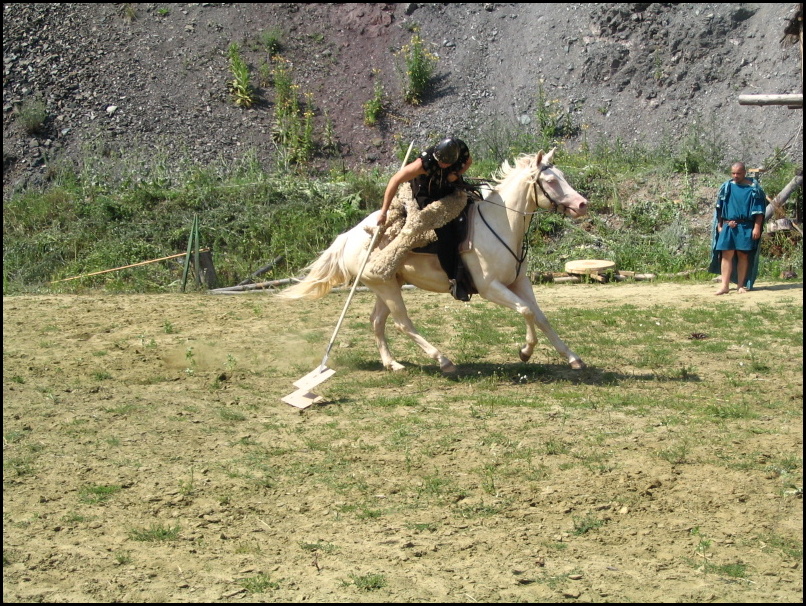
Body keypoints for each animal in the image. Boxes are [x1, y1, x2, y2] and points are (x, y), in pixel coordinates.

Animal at [280, 148, 592, 376]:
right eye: (551, 181)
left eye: (562, 176)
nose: (582, 205)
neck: (501, 223)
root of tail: (349, 236)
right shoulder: (491, 287)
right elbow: (526, 312)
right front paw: (525, 352)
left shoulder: (519, 282)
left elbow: (540, 316)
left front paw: (572, 357)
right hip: (385, 287)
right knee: (402, 324)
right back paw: (443, 360)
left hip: (387, 284)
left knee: (377, 322)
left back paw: (392, 363)